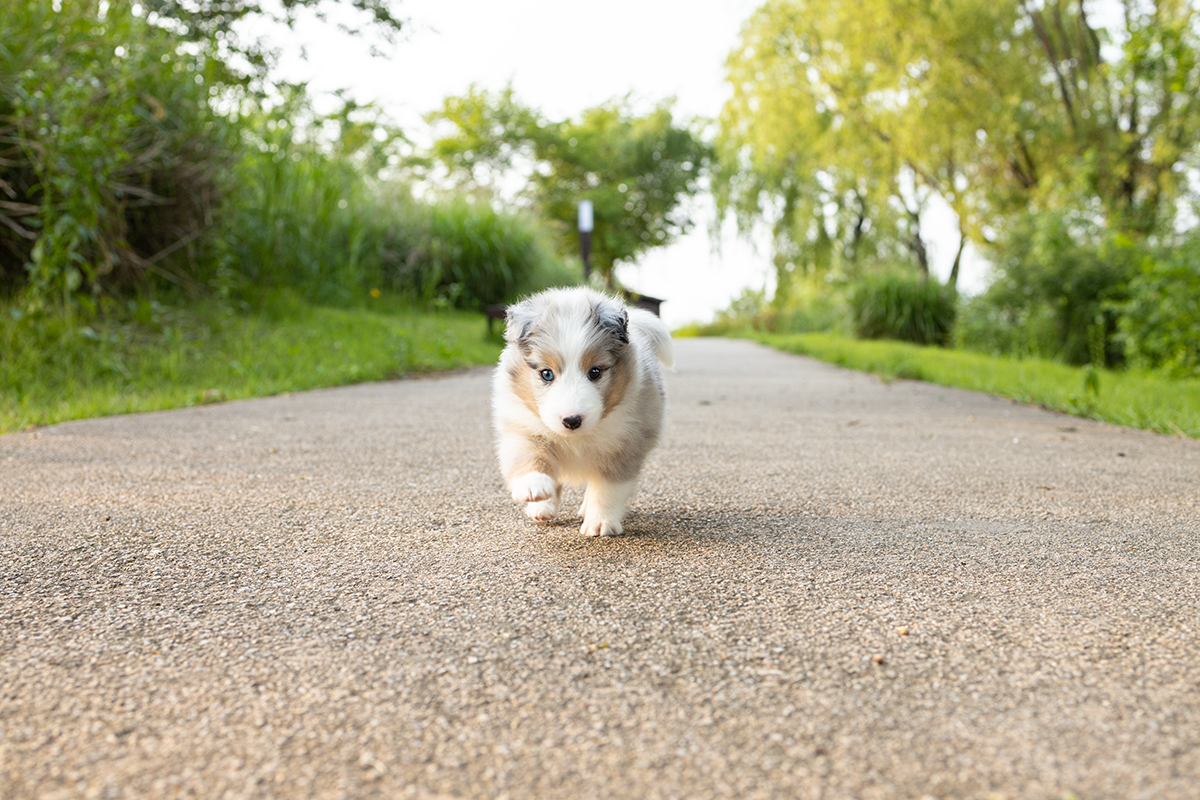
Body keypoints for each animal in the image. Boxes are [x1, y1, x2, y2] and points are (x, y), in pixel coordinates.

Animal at [489, 287, 676, 537]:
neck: (575, 438)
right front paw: (535, 487)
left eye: (595, 372)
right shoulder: (523, 427)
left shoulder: (624, 445)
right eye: (546, 374)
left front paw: (600, 523)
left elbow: (607, 489)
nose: (572, 420)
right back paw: (542, 507)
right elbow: (529, 455)